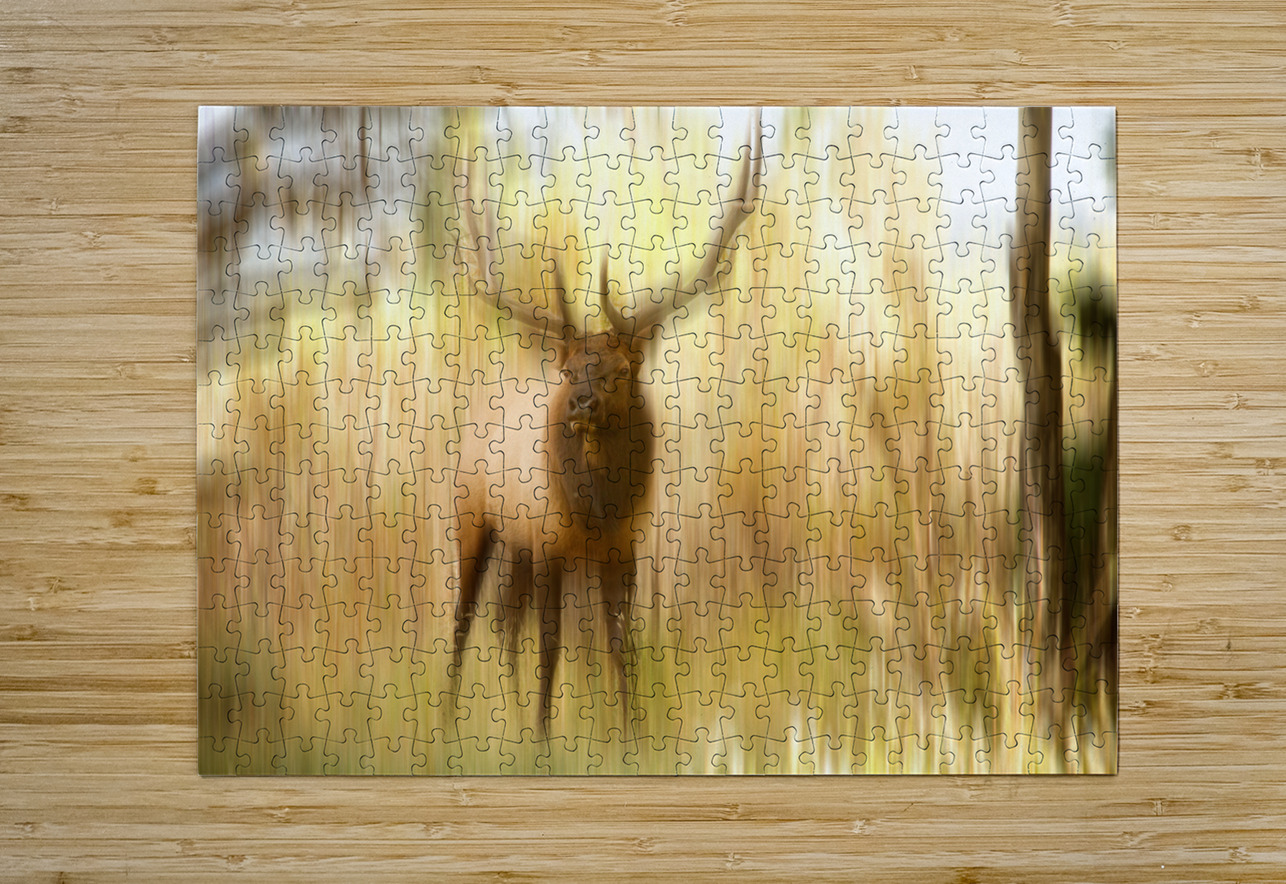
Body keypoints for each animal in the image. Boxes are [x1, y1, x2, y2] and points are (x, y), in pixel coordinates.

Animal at [449, 114, 763, 732]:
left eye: (622, 370)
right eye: (570, 369)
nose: (580, 405)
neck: (597, 510)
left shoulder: (623, 545)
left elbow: (622, 645)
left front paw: (632, 732)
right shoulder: (549, 538)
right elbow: (551, 648)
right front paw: (543, 736)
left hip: (515, 541)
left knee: (504, 621)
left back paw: (507, 709)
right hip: (471, 514)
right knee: (466, 620)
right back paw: (451, 720)